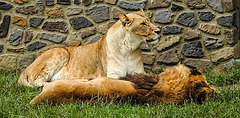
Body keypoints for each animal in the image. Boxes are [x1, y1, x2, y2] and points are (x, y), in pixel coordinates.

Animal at [18, 9, 159, 86]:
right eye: (144, 24)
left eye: (149, 20)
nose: (158, 31)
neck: (129, 49)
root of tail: (25, 70)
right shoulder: (113, 75)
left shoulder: (140, 72)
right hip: (60, 52)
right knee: (38, 81)